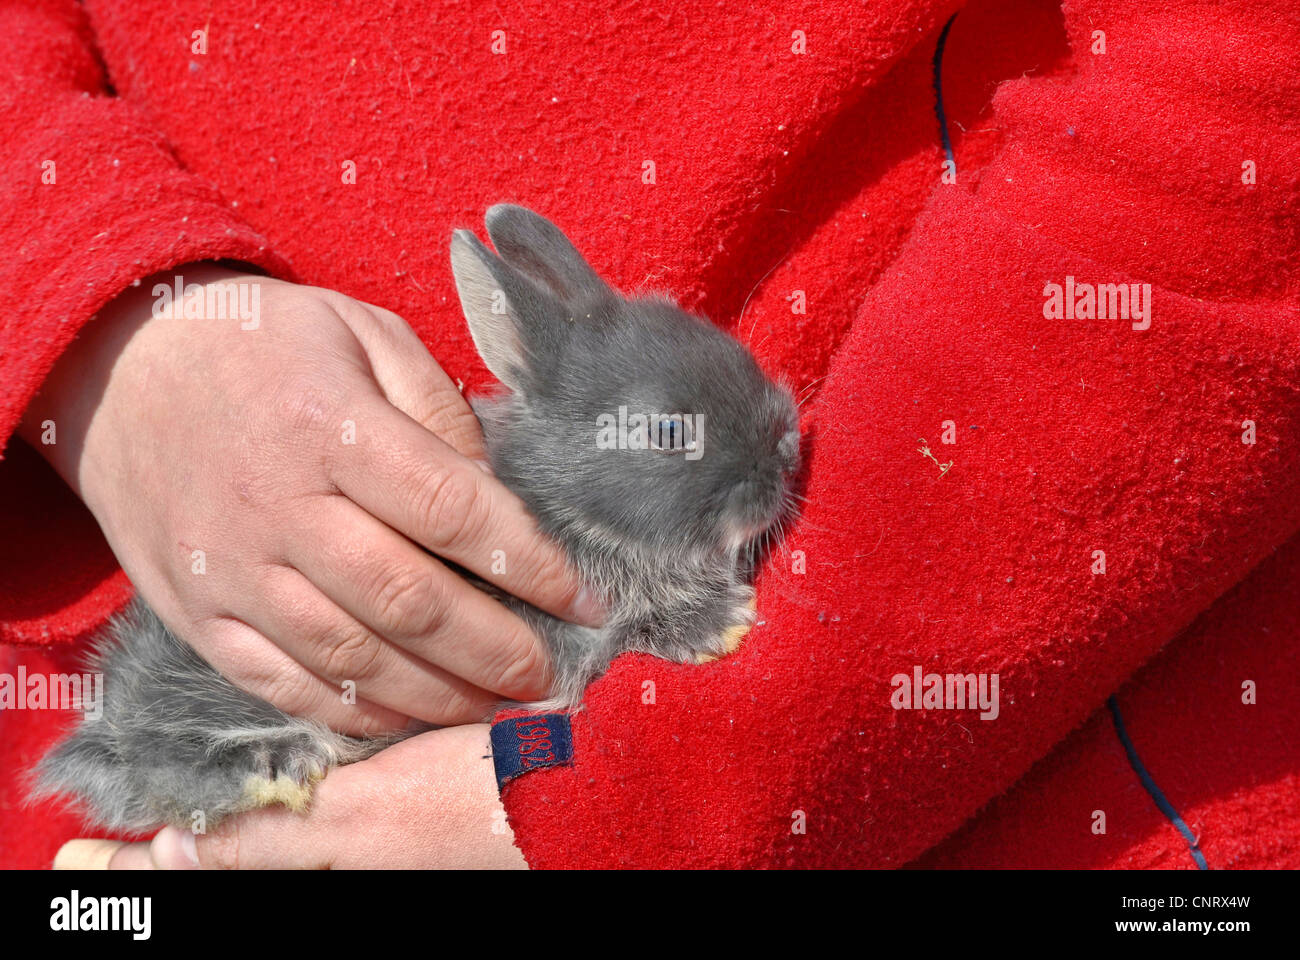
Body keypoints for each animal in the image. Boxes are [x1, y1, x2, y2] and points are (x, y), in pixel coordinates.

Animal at [30, 204, 795, 832]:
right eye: (669, 431)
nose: (786, 450)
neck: (561, 504)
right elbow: (613, 642)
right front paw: (714, 626)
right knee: (162, 764)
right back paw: (275, 763)